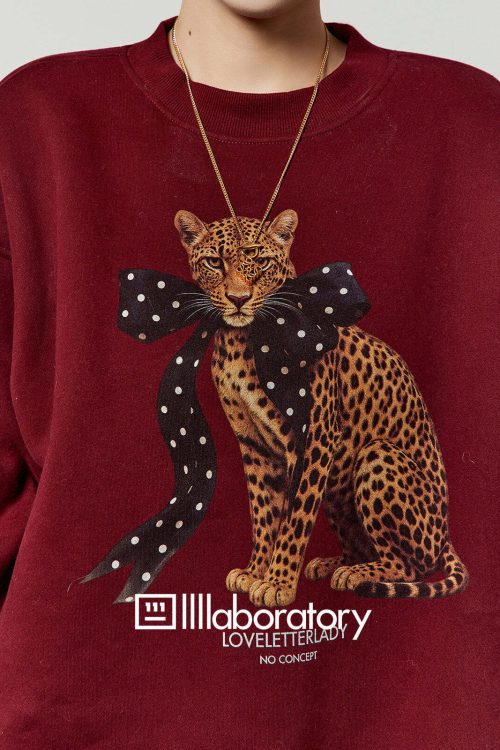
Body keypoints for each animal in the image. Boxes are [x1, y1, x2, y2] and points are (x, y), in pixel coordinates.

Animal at [174, 207, 469, 608]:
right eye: (214, 262)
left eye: (261, 262)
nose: (238, 298)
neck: (244, 339)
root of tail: (446, 534)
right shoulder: (253, 445)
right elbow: (263, 512)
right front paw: (255, 571)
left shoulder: (313, 438)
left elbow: (295, 516)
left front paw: (278, 582)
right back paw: (335, 564)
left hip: (376, 456)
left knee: (412, 567)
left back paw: (357, 574)